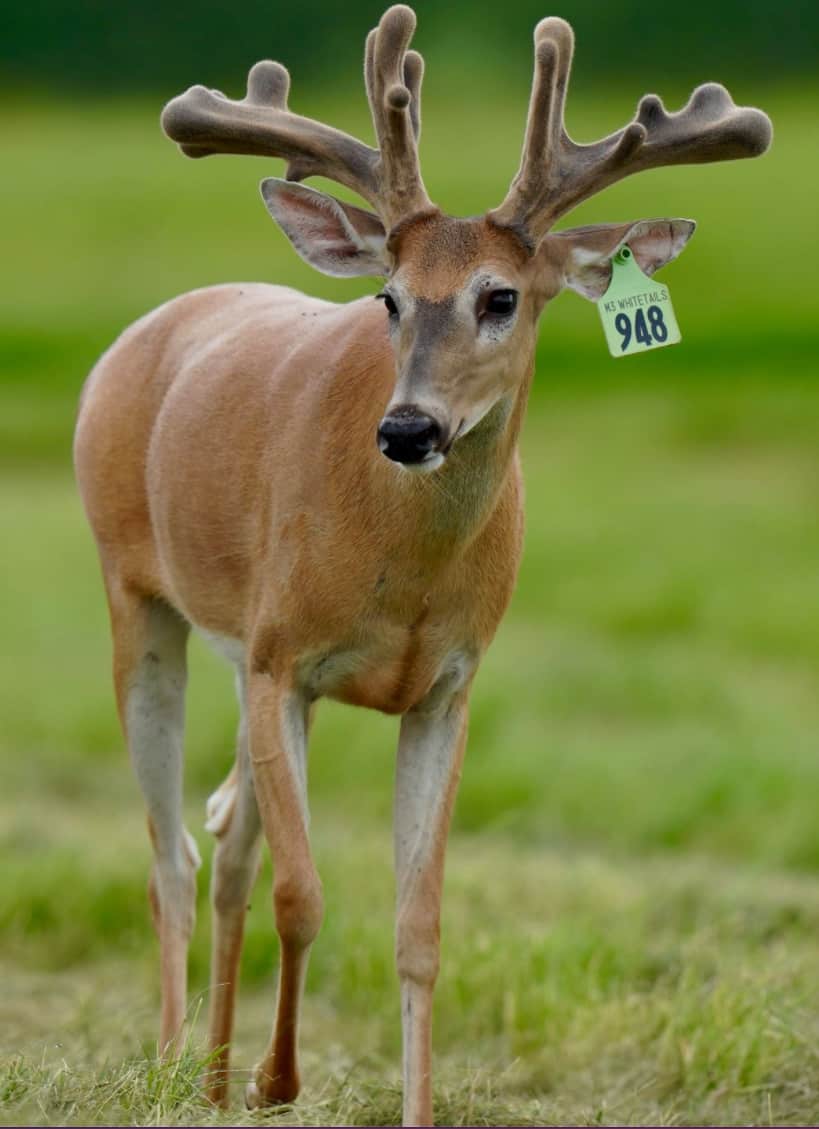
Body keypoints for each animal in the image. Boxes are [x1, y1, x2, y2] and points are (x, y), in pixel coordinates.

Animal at [73, 6, 771, 1125]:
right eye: (391, 299)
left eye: (501, 297)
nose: (408, 428)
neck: (402, 573)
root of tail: (143, 332)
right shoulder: (285, 660)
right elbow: (305, 895)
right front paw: (279, 1079)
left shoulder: (446, 685)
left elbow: (419, 927)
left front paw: (396, 1102)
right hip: (137, 592)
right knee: (171, 853)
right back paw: (179, 1066)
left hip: (238, 653)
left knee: (225, 832)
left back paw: (210, 1076)